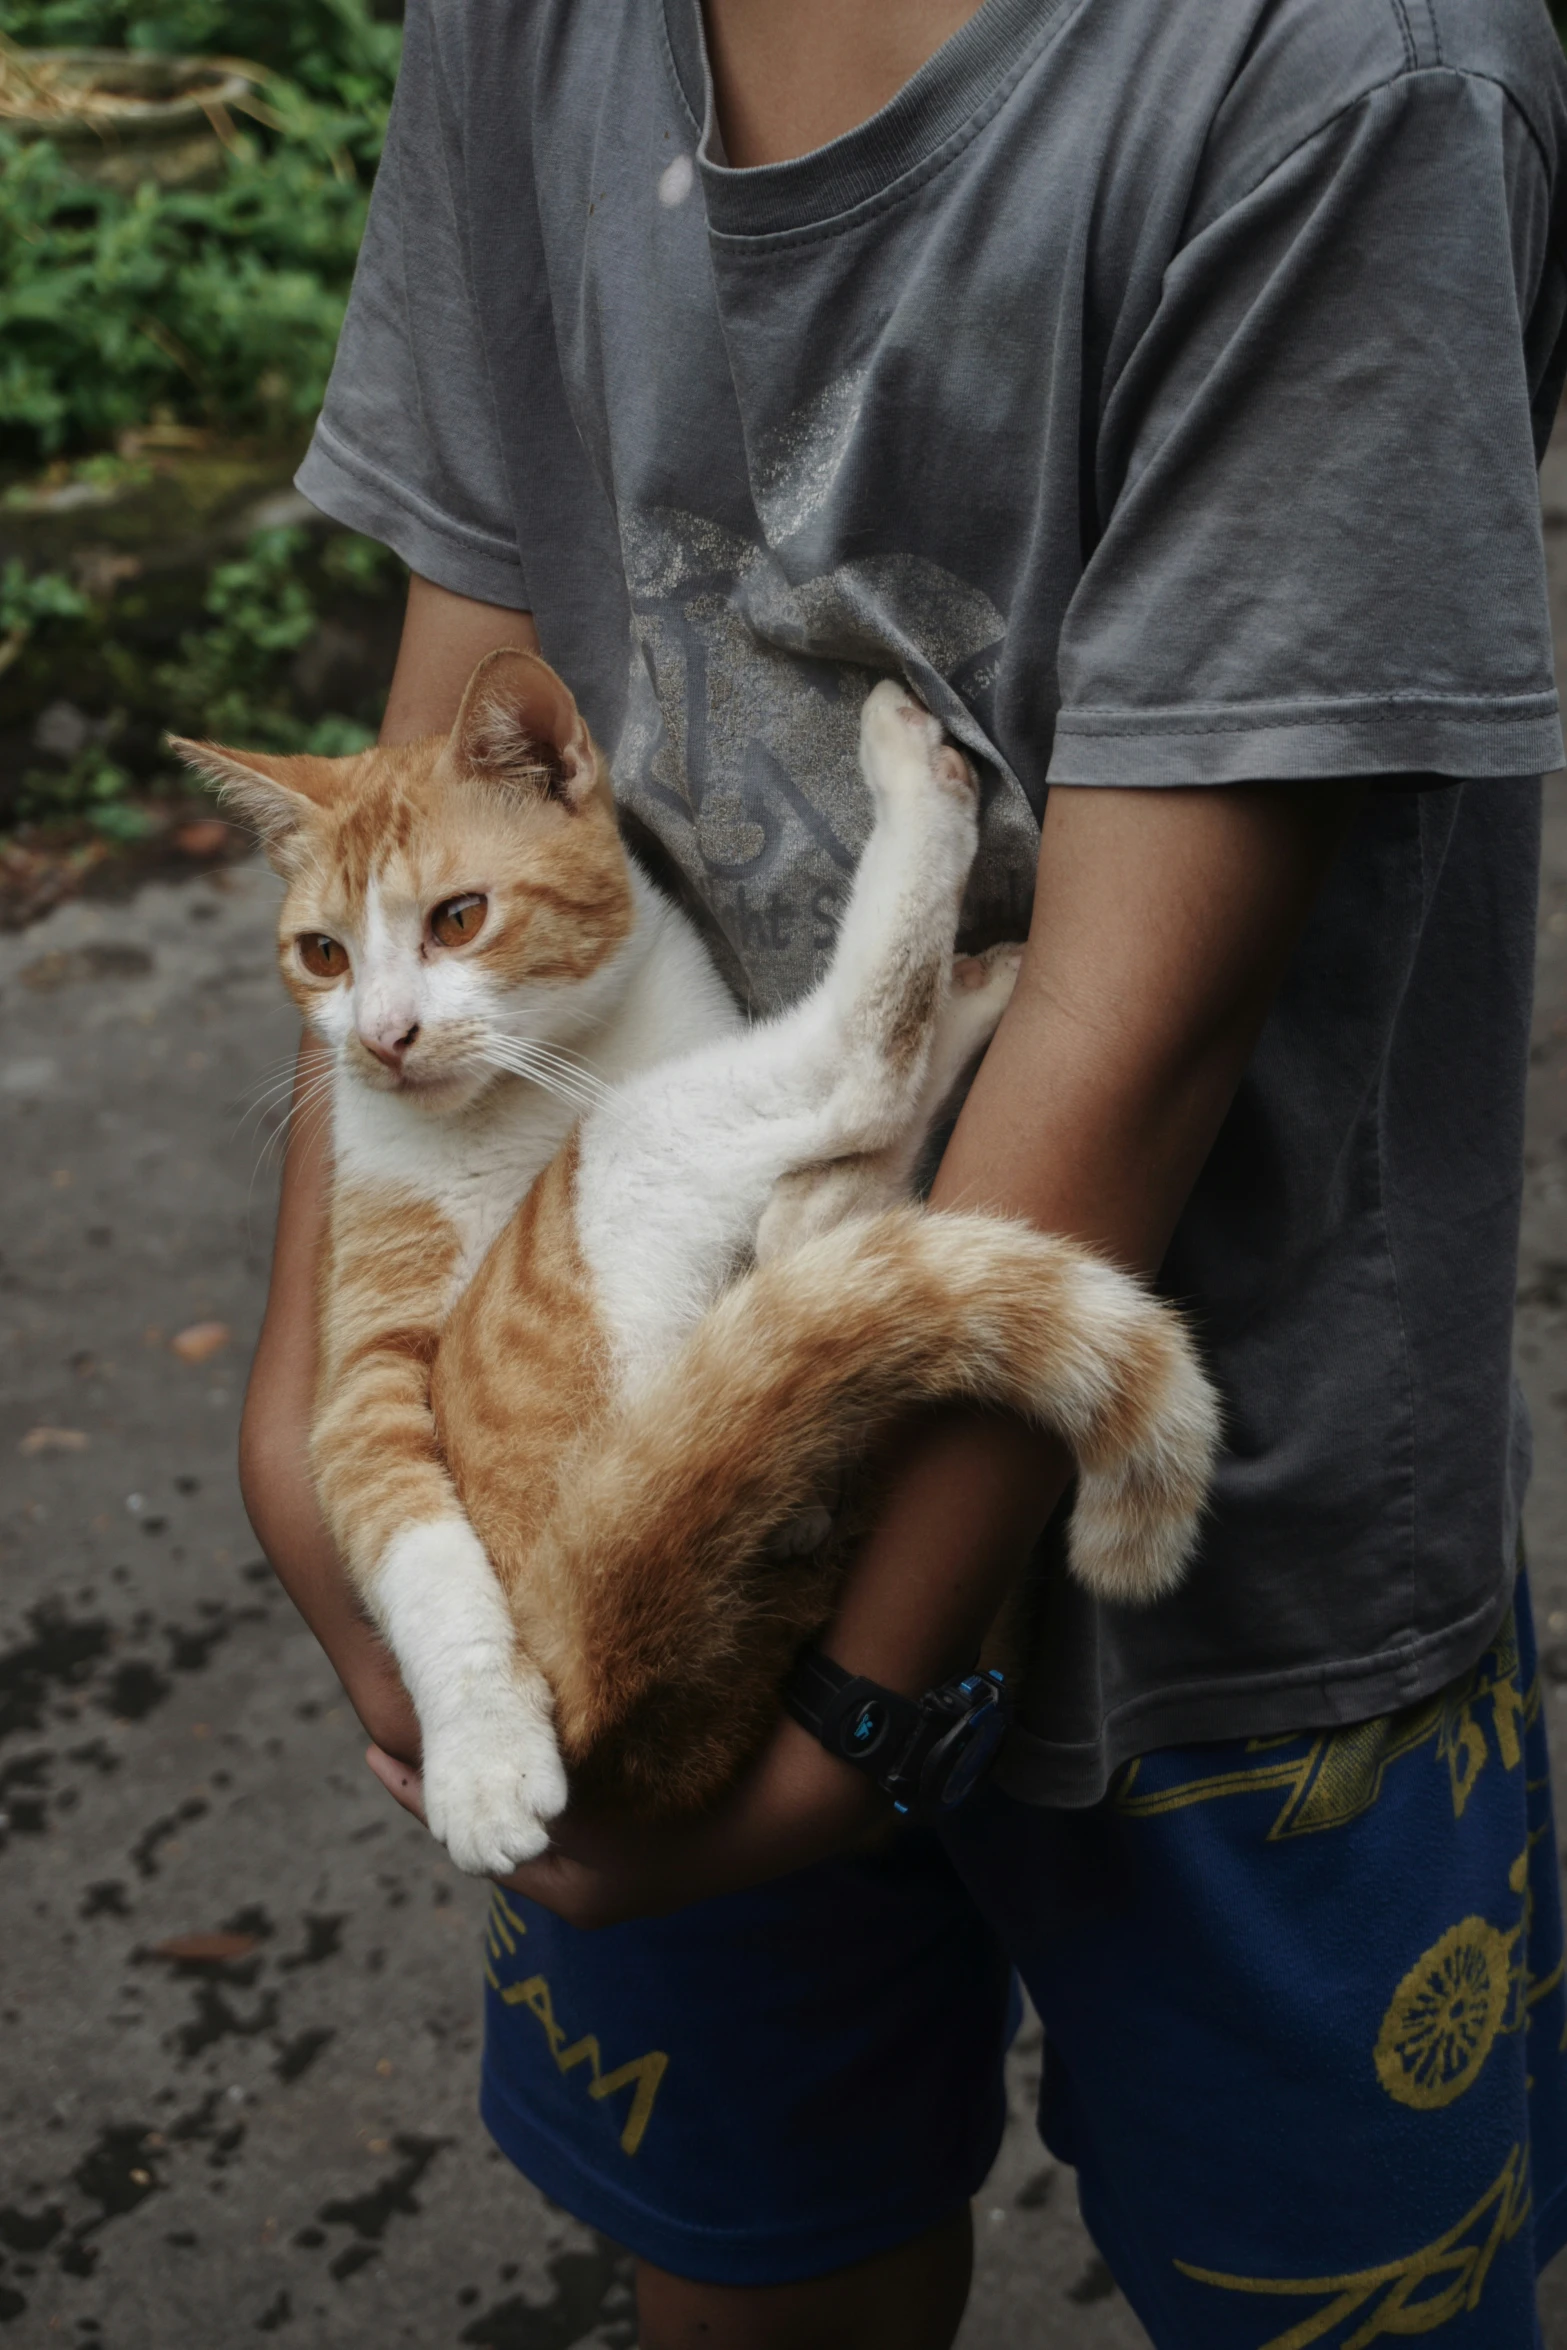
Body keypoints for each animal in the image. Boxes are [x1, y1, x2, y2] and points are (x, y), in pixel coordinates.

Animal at [177, 658, 1221, 1870]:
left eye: (459, 918)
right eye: (324, 955)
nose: (383, 1038)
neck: (549, 1077)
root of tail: (611, 1664)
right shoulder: (365, 1374)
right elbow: (418, 1550)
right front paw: (482, 1756)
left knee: (848, 1132)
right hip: (629, 1166)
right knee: (852, 1089)